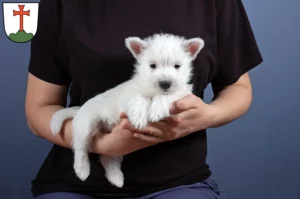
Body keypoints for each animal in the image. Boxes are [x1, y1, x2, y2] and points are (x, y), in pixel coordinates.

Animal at [50, 33, 205, 188]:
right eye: (152, 66)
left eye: (177, 66)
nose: (165, 84)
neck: (153, 91)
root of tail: (79, 110)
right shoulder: (132, 93)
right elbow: (138, 100)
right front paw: (139, 119)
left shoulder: (182, 93)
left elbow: (167, 96)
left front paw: (156, 110)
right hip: (86, 125)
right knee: (80, 147)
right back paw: (82, 169)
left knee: (107, 157)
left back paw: (116, 178)